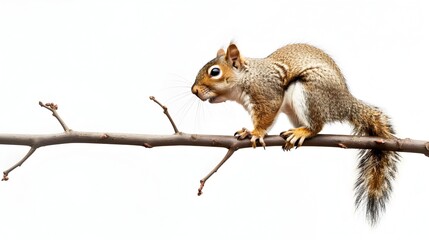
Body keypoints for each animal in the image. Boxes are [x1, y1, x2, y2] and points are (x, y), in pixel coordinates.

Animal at [191, 42, 398, 224]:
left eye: (215, 72)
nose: (193, 91)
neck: (248, 77)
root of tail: (345, 104)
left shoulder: (268, 94)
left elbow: (266, 117)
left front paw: (255, 133)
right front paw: (247, 130)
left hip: (310, 94)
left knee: (317, 126)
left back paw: (304, 132)